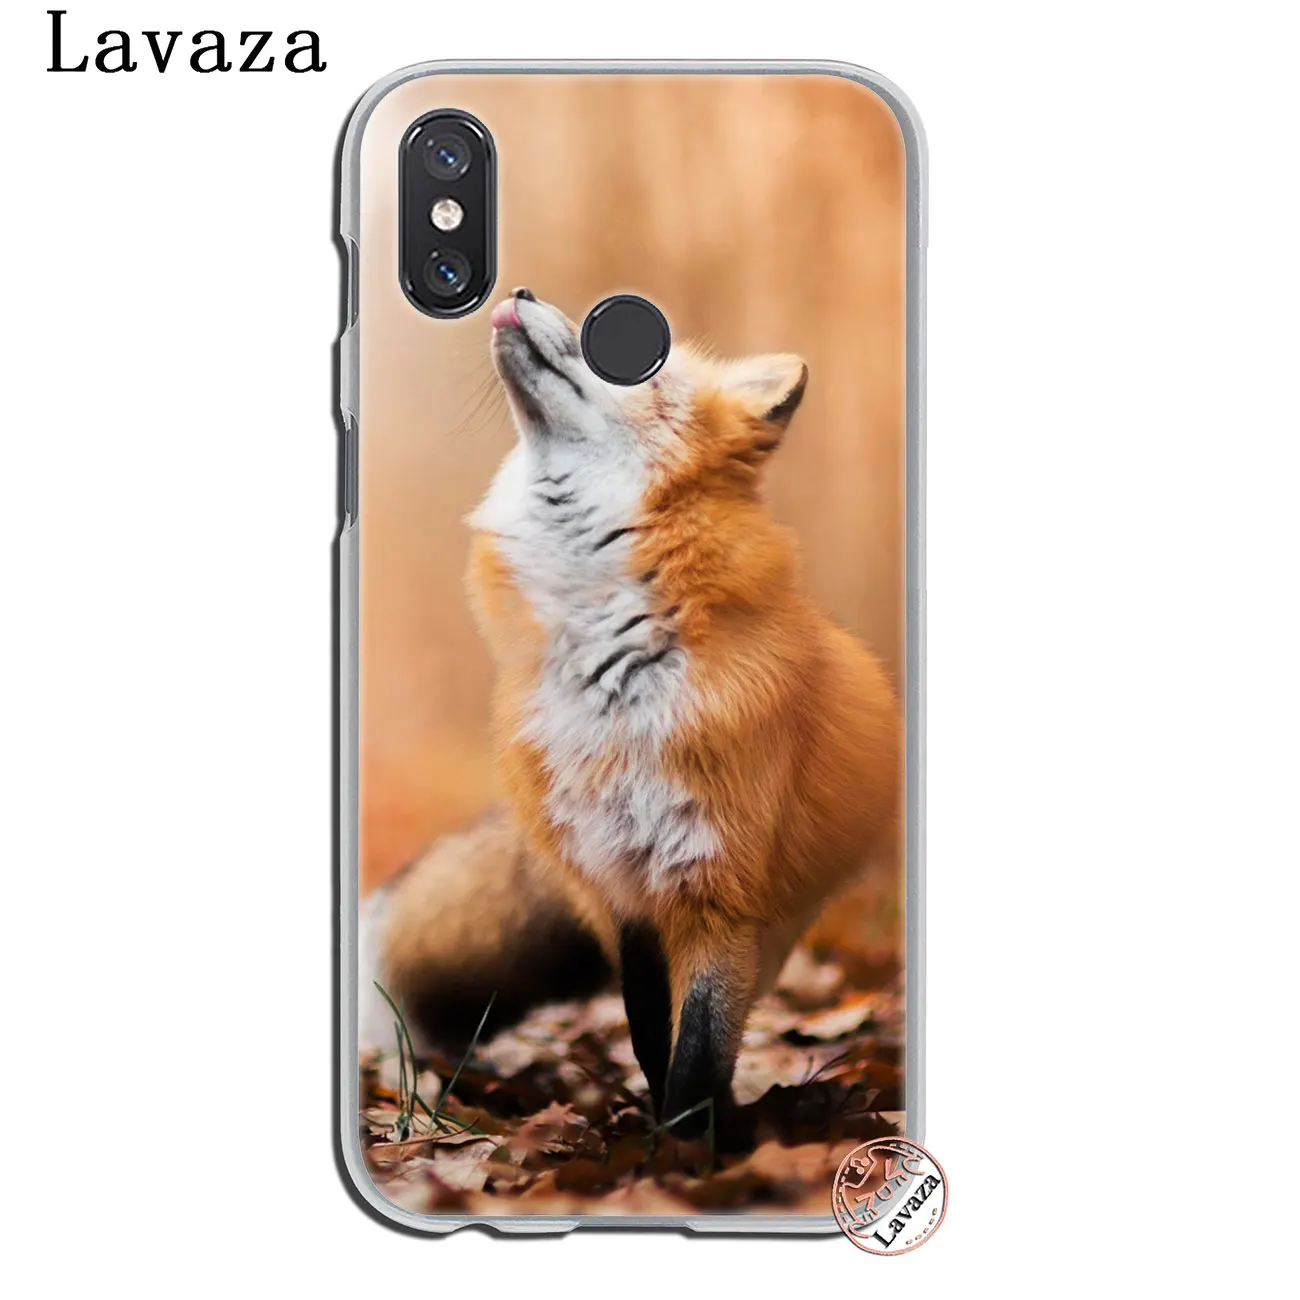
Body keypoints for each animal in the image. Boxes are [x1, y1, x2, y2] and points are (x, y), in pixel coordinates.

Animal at [360, 288, 901, 1143]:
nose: (518, 293)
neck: (613, 680)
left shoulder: (717, 888)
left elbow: (698, 1050)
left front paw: (684, 1154)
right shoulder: (623, 890)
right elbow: (653, 1036)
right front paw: (663, 1141)